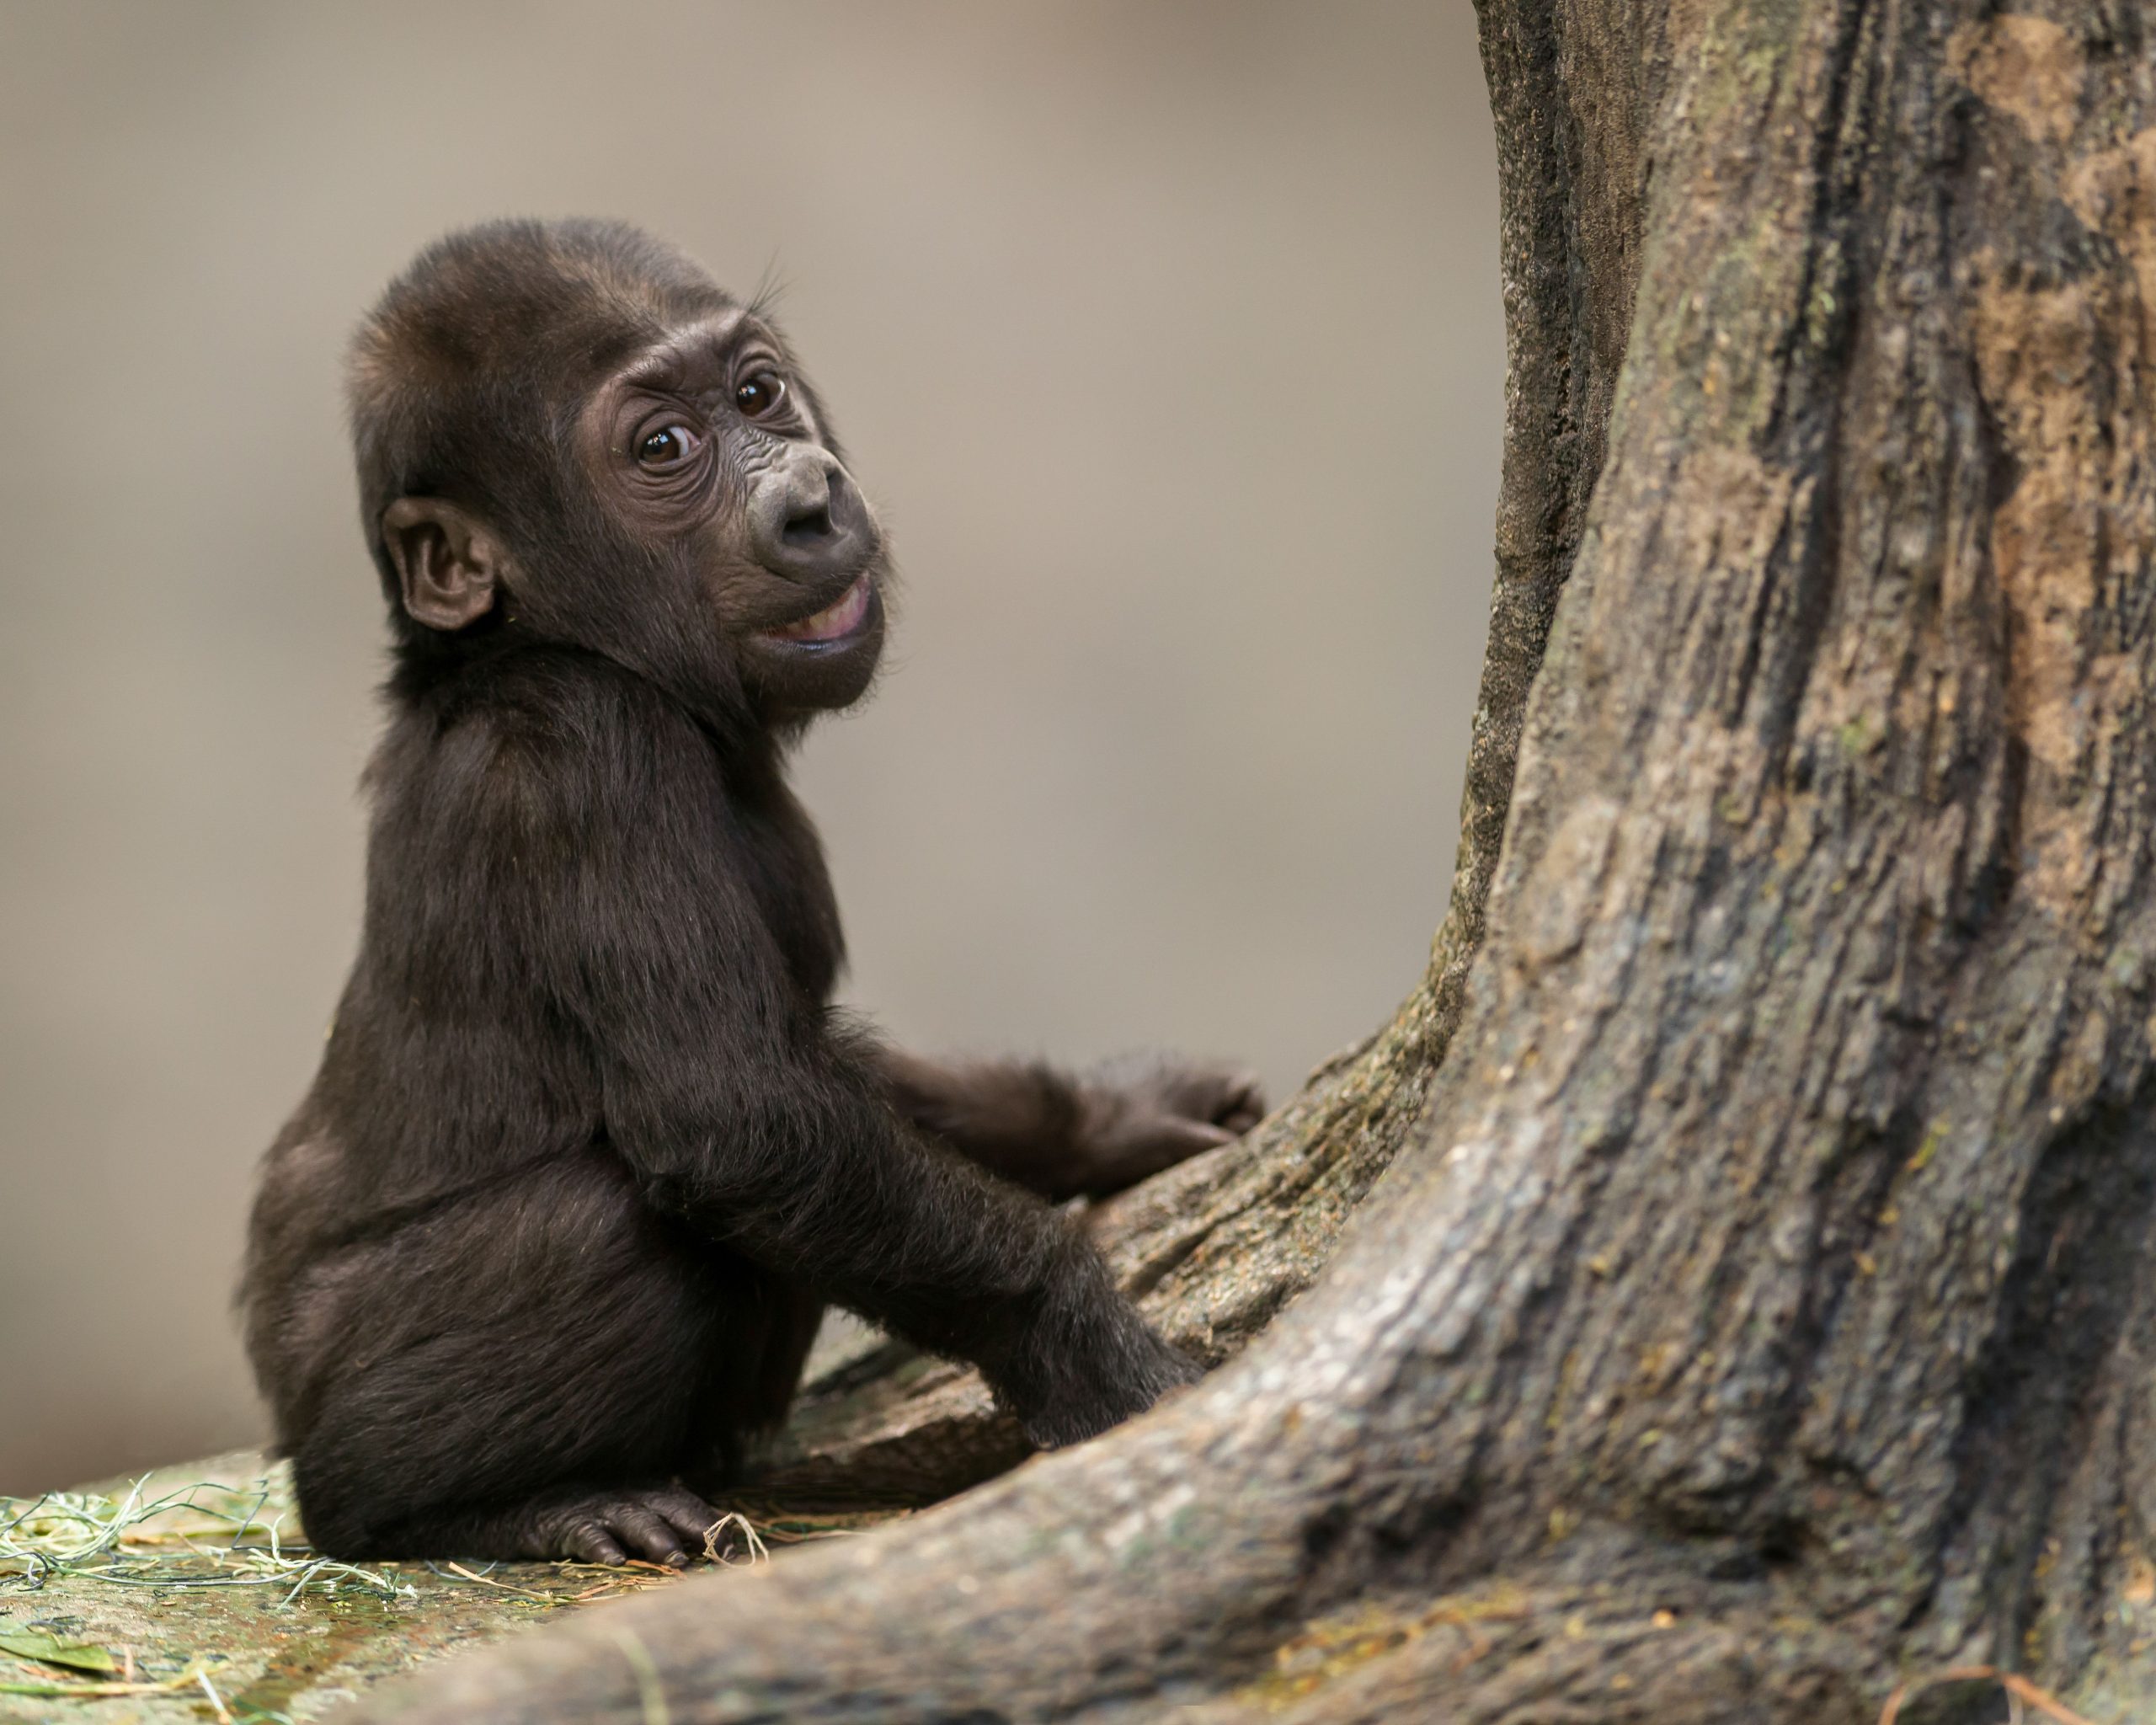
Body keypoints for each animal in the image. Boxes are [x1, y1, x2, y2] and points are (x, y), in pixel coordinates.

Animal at [239, 219, 1264, 1568]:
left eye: (758, 391)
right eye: (663, 450)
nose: (811, 500)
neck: (538, 640)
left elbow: (836, 1075)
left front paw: (1107, 1117)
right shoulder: (586, 748)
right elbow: (741, 1112)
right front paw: (1084, 1348)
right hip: (328, 1418)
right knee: (602, 1223)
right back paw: (484, 1503)